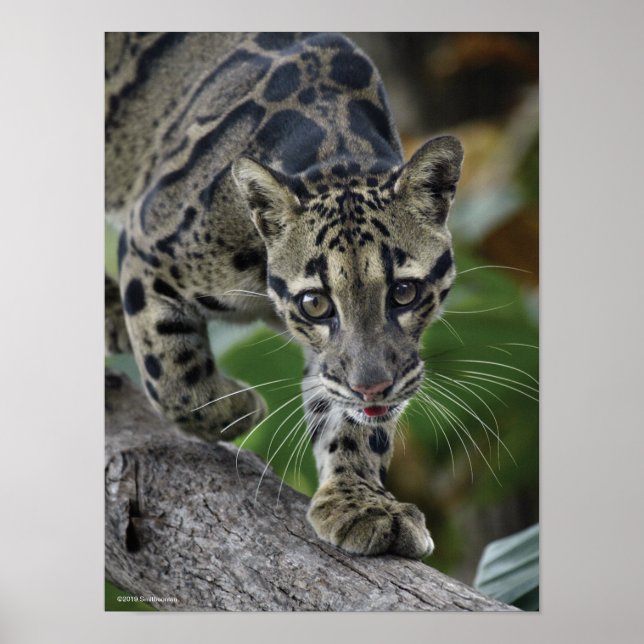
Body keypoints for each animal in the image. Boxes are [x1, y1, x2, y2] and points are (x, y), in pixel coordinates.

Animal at [105, 32, 463, 559]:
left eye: (403, 292)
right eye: (315, 303)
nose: (373, 388)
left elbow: (348, 417)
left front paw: (361, 502)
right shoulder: (145, 243)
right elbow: (172, 377)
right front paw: (238, 410)